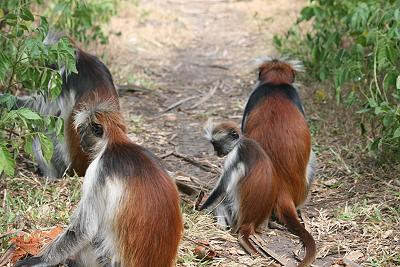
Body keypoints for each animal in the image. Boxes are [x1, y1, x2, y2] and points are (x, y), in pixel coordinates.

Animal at [15, 100, 184, 267]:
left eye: (82, 131)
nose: (81, 140)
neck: (117, 143)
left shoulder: (98, 170)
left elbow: (84, 230)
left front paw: (39, 260)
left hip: (100, 258)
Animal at [195, 121, 276, 255]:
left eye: (216, 144)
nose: (216, 153)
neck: (240, 142)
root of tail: (249, 223)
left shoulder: (234, 155)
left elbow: (222, 188)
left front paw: (199, 210)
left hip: (233, 217)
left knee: (220, 205)